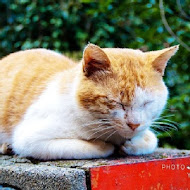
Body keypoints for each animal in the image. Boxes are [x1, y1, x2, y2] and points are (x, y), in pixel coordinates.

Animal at [0, 43, 178, 160]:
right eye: (116, 102)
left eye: (147, 103)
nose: (134, 125)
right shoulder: (30, 139)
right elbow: (92, 147)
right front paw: (106, 145)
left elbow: (151, 140)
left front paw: (131, 145)